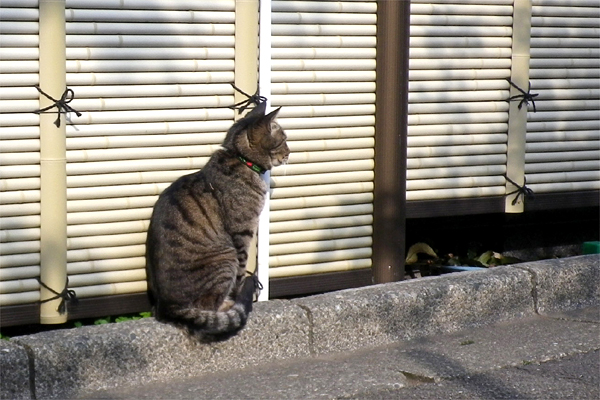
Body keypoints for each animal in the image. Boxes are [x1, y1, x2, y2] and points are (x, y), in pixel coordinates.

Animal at [143, 101, 288, 340]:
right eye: (284, 140)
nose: (289, 153)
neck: (241, 159)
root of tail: (168, 307)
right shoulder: (243, 233)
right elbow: (241, 274)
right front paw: (238, 296)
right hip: (226, 256)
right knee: (209, 307)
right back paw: (228, 304)